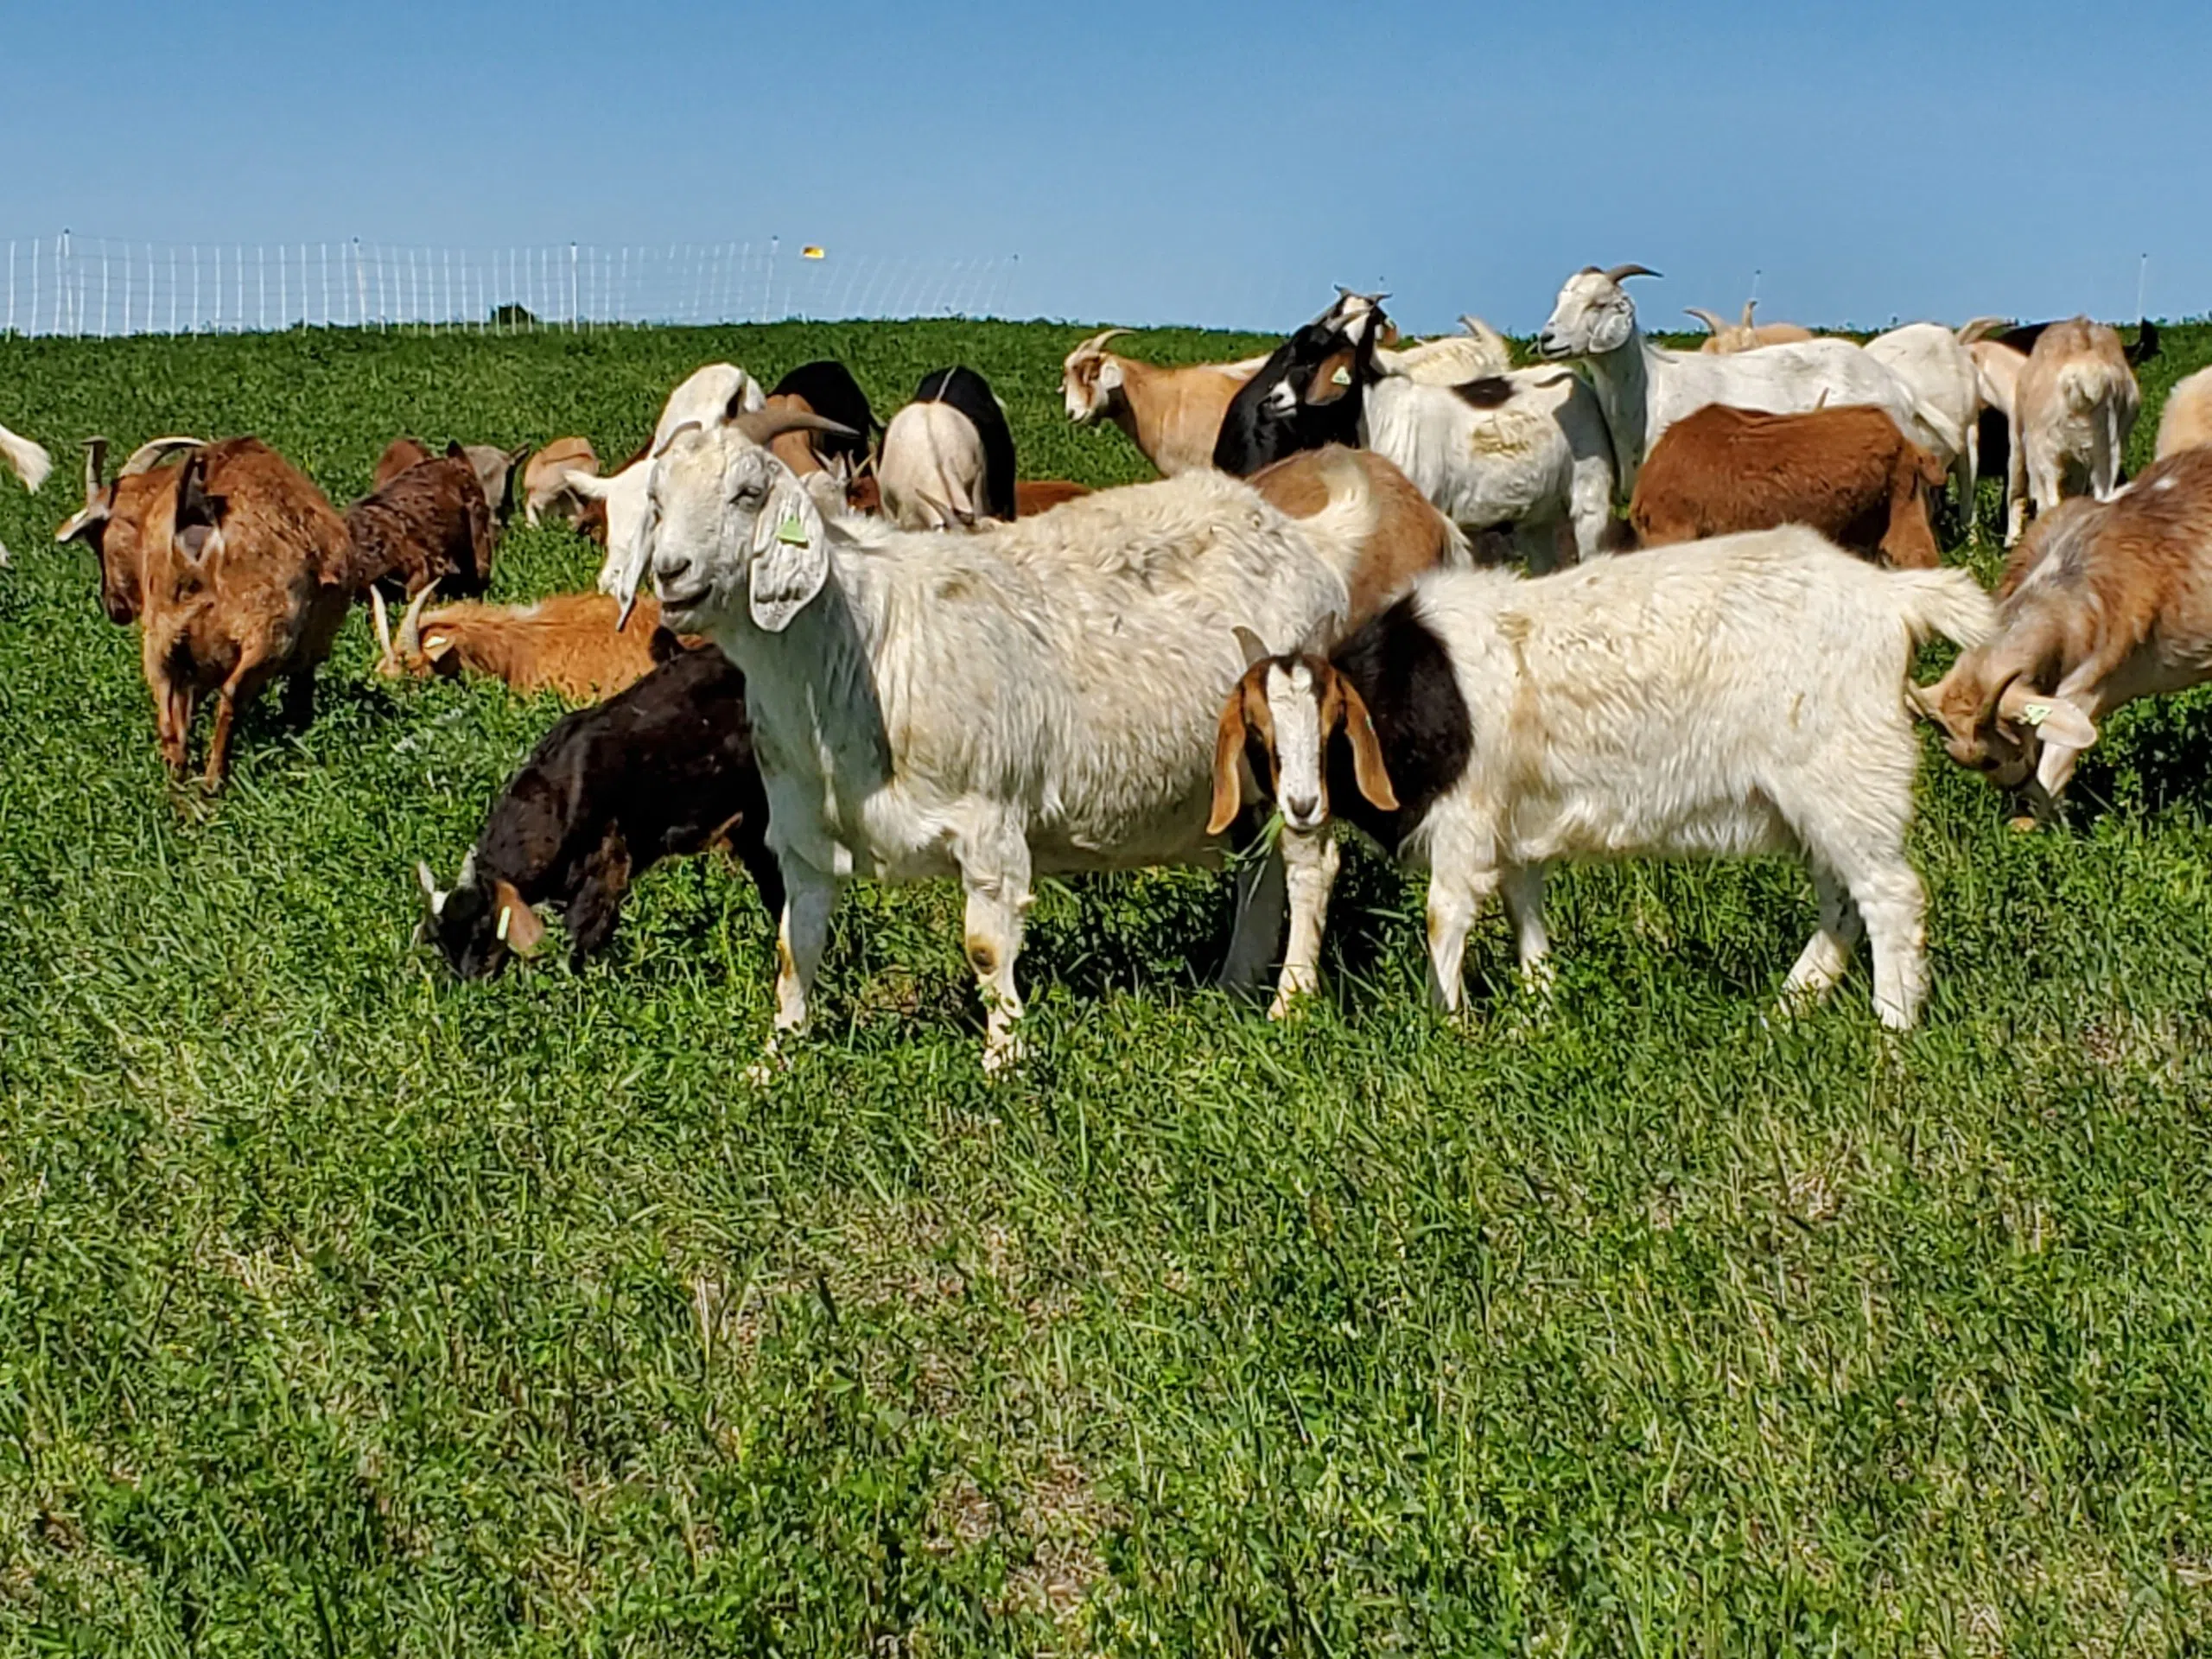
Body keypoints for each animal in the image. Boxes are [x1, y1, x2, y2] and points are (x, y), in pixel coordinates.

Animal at [134, 440, 355, 787]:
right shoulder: (310, 647)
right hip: (268, 628)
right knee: (232, 695)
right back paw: (214, 781)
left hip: (162, 634)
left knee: (168, 710)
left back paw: (178, 779)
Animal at [626, 408, 1379, 1070]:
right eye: (657, 500)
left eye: (748, 493)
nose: (672, 572)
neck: (864, 644)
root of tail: (1304, 540)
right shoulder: (804, 832)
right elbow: (795, 948)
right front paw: (774, 1060)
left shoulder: (988, 817)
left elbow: (986, 947)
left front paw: (1005, 1059)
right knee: (1260, 865)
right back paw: (1233, 985)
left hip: (1296, 744)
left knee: (1311, 862)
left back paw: (1290, 1002)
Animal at [1209, 528, 1996, 1026]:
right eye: (1261, 735)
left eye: (1333, 726)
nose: (1302, 806)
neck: (1416, 686)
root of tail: (1895, 600)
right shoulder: (1513, 824)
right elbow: (1524, 904)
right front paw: (1538, 1006)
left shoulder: (1467, 818)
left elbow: (1443, 914)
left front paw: (1450, 1026)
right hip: (1818, 798)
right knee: (1841, 900)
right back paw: (1787, 1009)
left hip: (1847, 780)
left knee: (1892, 896)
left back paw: (1891, 1030)